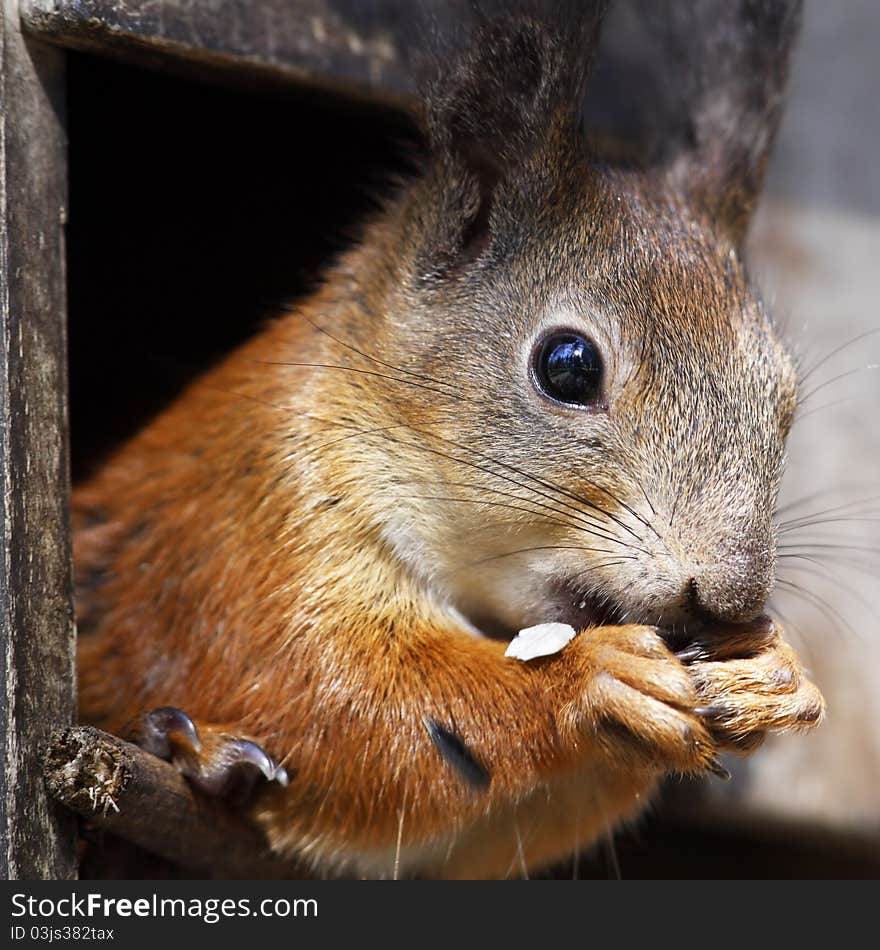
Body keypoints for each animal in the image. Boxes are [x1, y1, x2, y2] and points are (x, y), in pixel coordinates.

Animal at [72, 0, 820, 880]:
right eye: (568, 366)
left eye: (784, 397)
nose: (731, 598)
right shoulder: (247, 545)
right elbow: (348, 698)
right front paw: (589, 679)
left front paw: (779, 676)